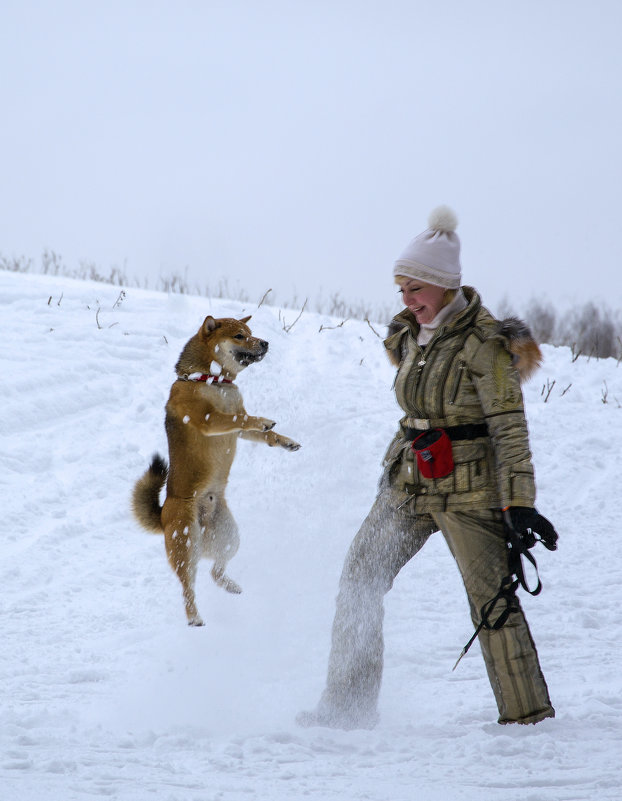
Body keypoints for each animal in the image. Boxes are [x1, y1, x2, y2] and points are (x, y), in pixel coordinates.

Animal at [132, 314, 302, 624]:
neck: (214, 380)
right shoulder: (208, 419)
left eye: (250, 332)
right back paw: (193, 616)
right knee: (187, 586)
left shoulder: (238, 430)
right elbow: (241, 417)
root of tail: (163, 514)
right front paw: (264, 420)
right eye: (239, 336)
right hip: (185, 542)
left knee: (215, 571)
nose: (265, 343)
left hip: (229, 537)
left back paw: (230, 585)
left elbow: (260, 431)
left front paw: (285, 441)